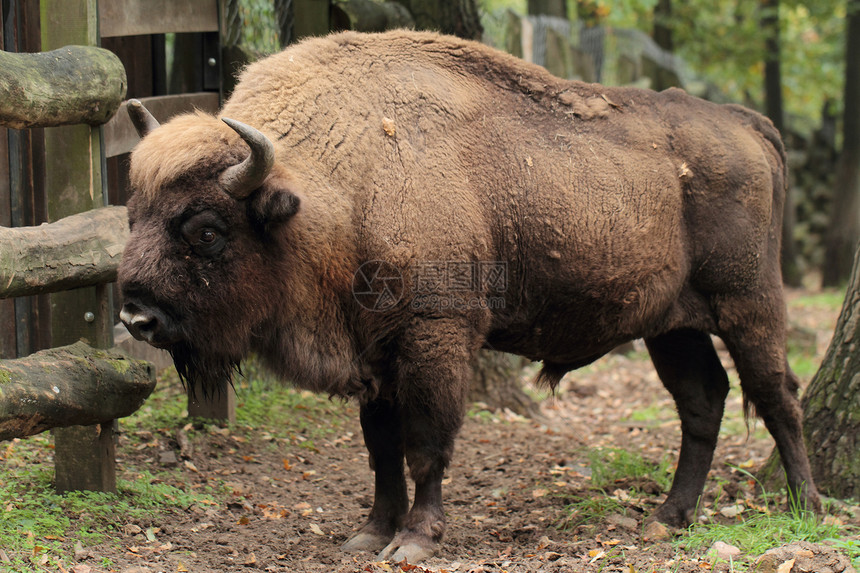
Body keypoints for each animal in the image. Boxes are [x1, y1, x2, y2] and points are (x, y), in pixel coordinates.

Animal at [119, 29, 820, 560]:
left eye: (207, 230)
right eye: (133, 215)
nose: (134, 315)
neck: (334, 192)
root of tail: (750, 124)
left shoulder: (436, 335)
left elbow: (427, 443)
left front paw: (415, 541)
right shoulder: (375, 355)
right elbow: (381, 447)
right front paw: (368, 535)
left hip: (748, 303)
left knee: (777, 394)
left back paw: (806, 508)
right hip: (672, 326)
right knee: (703, 400)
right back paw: (667, 519)